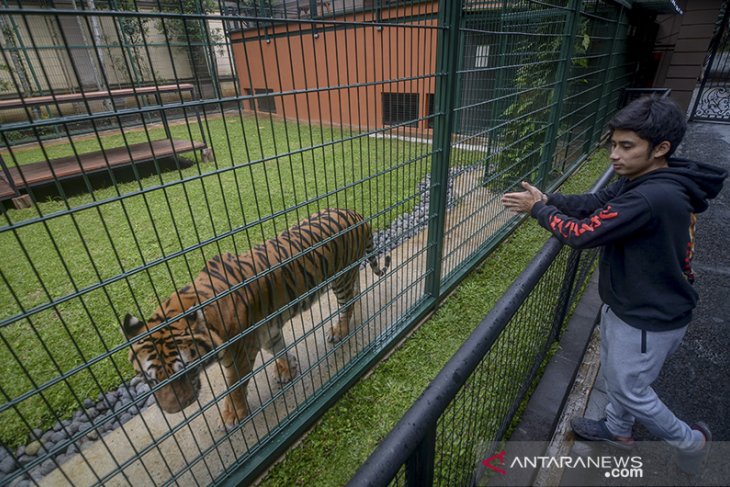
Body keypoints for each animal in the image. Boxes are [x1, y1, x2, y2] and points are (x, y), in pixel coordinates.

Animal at [122, 208, 390, 426]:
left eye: (184, 373)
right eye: (151, 380)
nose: (175, 410)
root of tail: (357, 214)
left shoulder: (240, 354)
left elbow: (235, 388)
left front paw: (233, 415)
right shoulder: (266, 331)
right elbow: (279, 349)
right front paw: (287, 369)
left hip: (340, 279)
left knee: (347, 304)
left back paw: (339, 330)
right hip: (347, 274)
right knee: (355, 290)